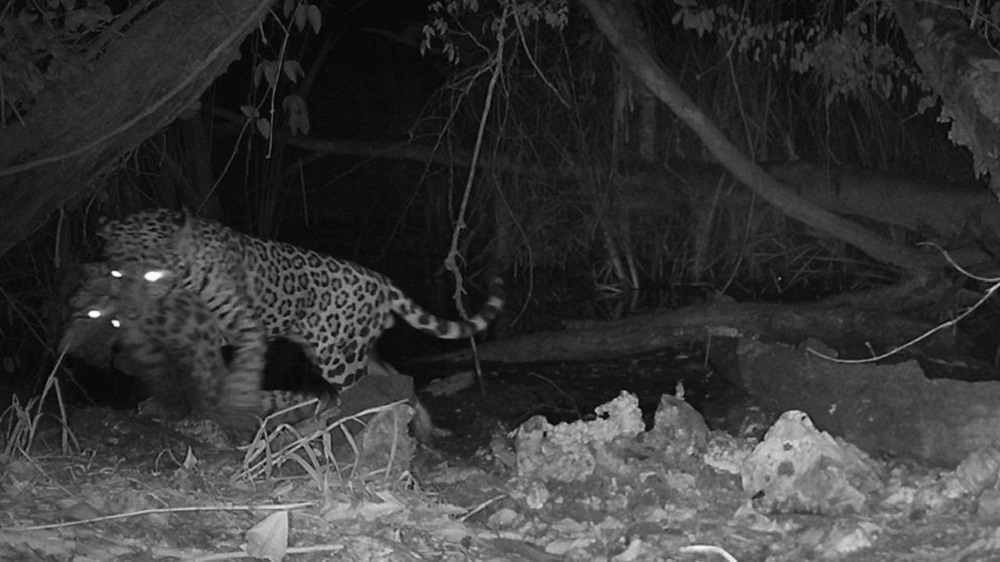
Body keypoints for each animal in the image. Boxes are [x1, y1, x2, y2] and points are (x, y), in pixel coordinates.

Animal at [96, 208, 505, 392]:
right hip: (339, 346)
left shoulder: (240, 325)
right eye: (115, 273)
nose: (130, 310)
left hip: (339, 356)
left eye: (152, 274)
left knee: (362, 387)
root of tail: (381, 279)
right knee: (389, 376)